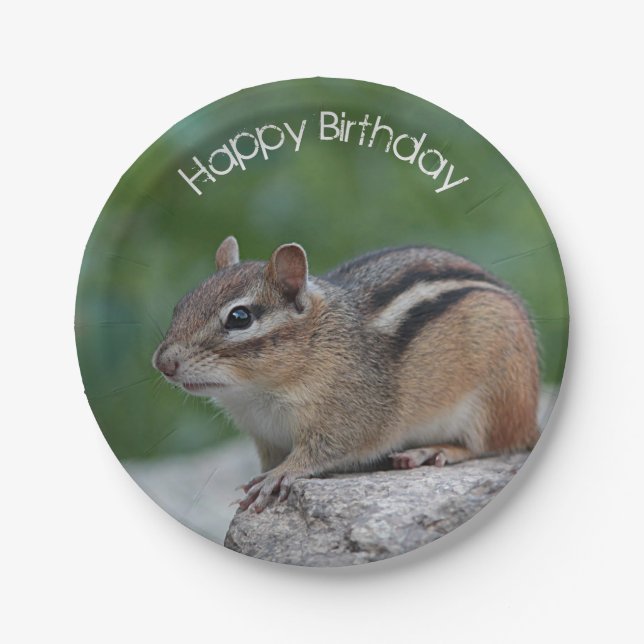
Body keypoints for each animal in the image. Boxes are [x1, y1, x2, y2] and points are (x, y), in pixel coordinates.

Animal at [153, 236, 540, 512]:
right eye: (180, 305)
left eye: (239, 317)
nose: (163, 363)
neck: (255, 394)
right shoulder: (265, 437)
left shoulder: (350, 415)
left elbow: (322, 451)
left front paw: (277, 476)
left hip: (494, 398)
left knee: (489, 446)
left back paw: (431, 451)